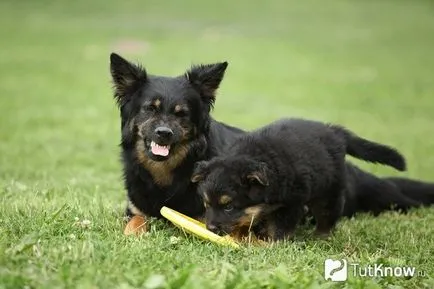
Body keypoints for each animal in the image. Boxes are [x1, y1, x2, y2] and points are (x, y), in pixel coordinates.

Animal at [110, 53, 242, 234]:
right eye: (150, 108)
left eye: (181, 113)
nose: (164, 133)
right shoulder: (135, 209)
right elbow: (135, 221)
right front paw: (132, 233)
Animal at [192, 118, 406, 240]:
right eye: (206, 204)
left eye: (228, 206)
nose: (210, 228)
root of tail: (335, 131)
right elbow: (248, 218)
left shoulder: (292, 204)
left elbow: (279, 228)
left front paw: (272, 243)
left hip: (329, 190)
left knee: (329, 214)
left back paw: (320, 236)